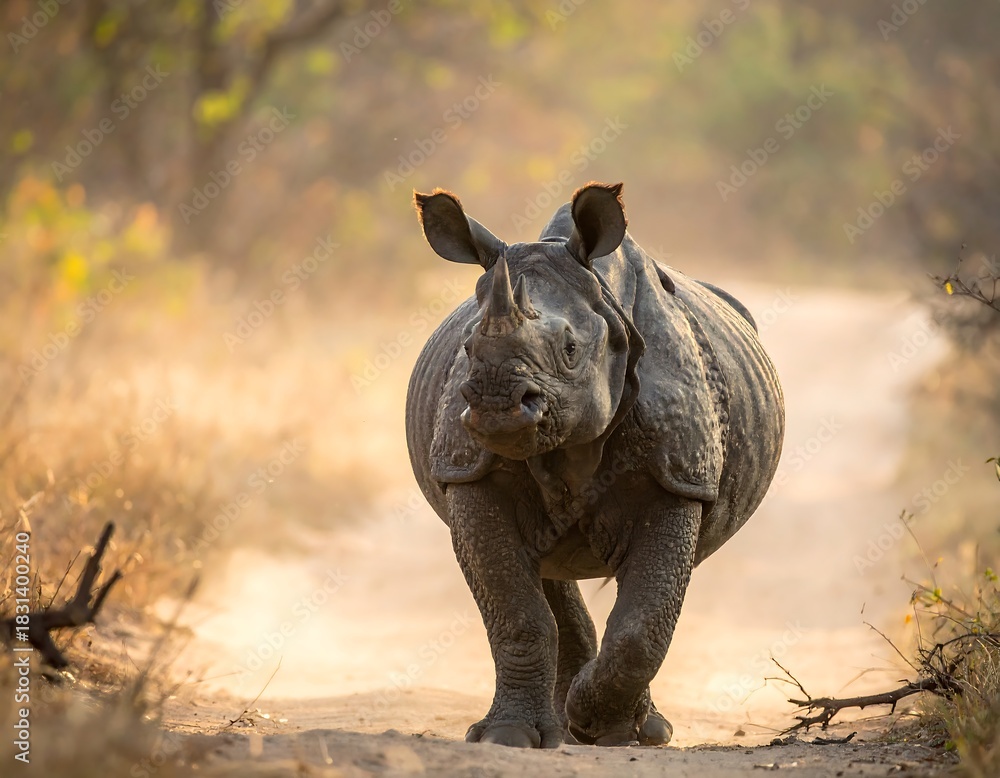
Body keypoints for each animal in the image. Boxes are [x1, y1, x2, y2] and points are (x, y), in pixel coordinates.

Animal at [405, 182, 784, 748]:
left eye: (569, 350)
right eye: (468, 348)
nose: (497, 404)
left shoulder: (678, 475)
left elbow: (643, 621)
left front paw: (600, 726)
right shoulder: (466, 468)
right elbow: (516, 614)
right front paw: (507, 737)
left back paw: (634, 730)